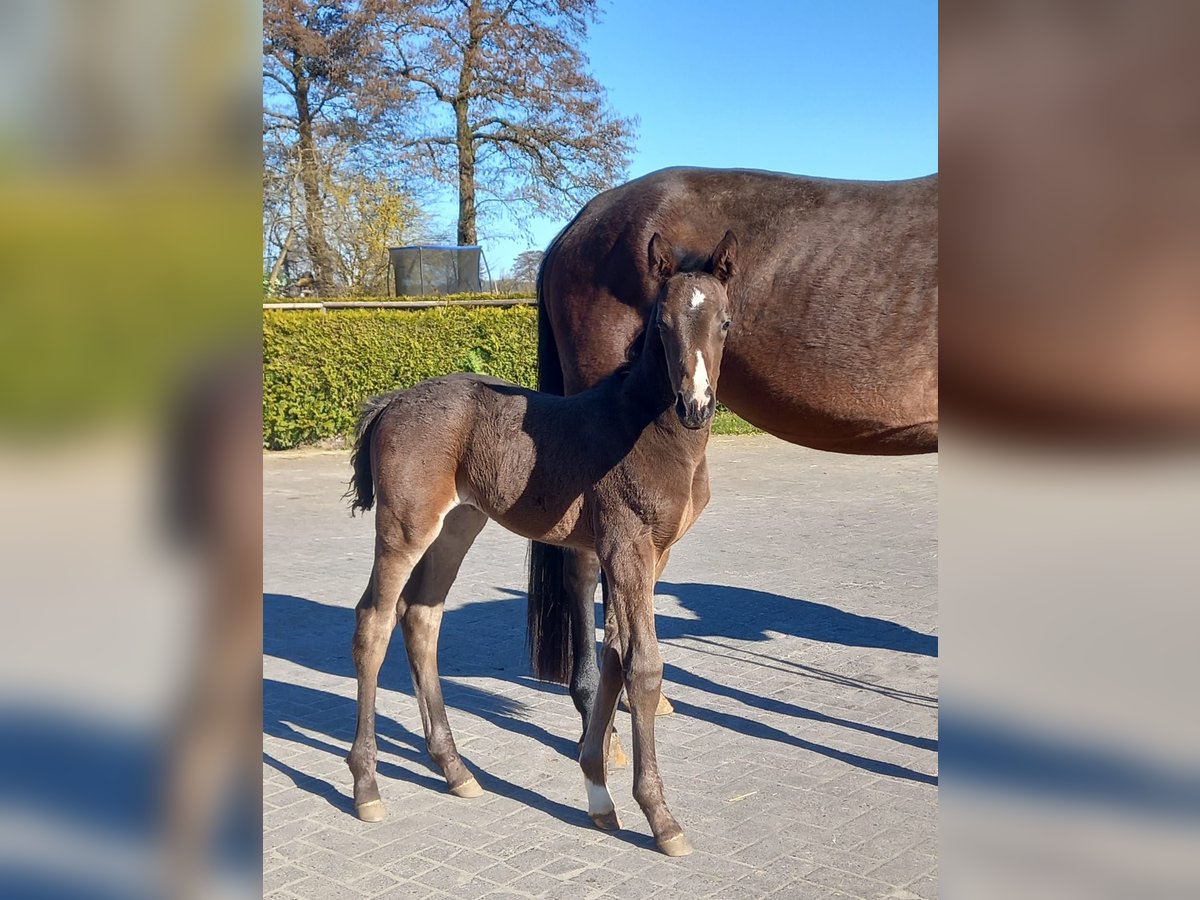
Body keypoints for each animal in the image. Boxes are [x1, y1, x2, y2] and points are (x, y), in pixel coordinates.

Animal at [348, 229, 734, 854]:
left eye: (724, 322)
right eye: (662, 323)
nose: (695, 405)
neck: (646, 430)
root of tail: (392, 402)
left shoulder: (651, 554)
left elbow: (615, 655)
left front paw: (598, 794)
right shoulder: (627, 547)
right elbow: (644, 667)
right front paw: (660, 816)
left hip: (458, 525)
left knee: (422, 617)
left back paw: (454, 769)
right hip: (405, 527)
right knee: (374, 624)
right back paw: (366, 786)